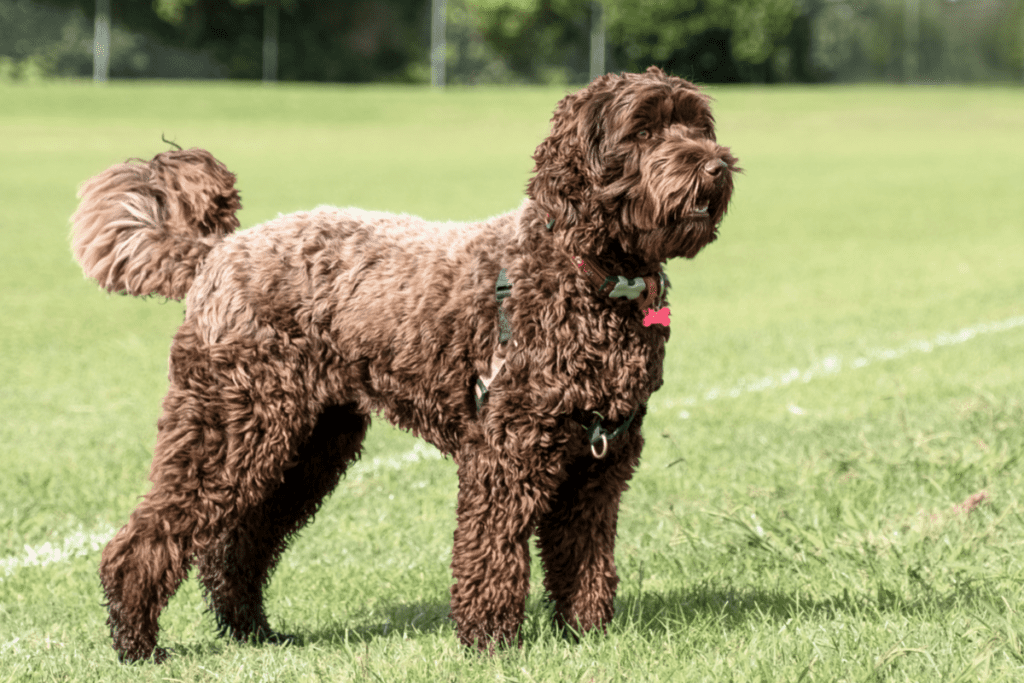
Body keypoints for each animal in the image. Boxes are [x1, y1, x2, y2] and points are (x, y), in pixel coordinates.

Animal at [70, 68, 737, 663]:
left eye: (697, 124)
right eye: (643, 131)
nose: (715, 165)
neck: (589, 277)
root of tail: (216, 252)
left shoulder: (600, 464)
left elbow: (585, 557)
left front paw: (586, 635)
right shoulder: (506, 454)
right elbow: (492, 551)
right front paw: (490, 642)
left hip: (308, 446)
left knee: (237, 547)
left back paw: (252, 632)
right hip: (228, 428)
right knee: (149, 539)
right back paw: (137, 644)